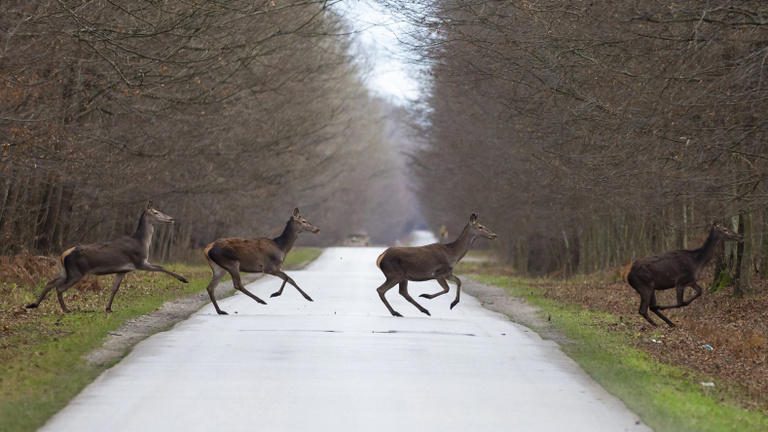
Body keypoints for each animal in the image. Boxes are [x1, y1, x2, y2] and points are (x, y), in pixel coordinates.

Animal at [26, 202, 188, 314]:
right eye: (155, 212)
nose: (171, 219)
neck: (142, 242)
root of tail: (63, 254)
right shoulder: (139, 262)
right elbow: (161, 267)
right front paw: (183, 279)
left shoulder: (123, 270)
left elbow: (114, 289)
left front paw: (108, 308)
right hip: (77, 272)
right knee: (59, 288)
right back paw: (66, 310)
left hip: (66, 271)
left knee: (50, 282)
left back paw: (33, 304)